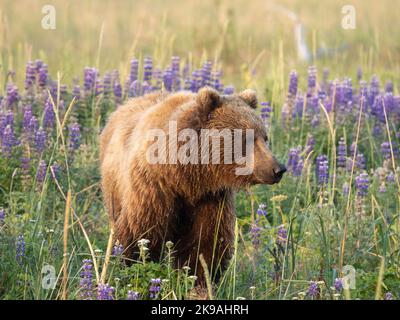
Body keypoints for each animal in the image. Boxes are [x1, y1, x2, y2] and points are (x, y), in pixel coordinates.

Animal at [100, 88, 288, 284]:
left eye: (265, 137)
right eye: (246, 138)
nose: (278, 168)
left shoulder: (210, 198)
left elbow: (206, 243)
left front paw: (199, 279)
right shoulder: (153, 188)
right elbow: (140, 232)